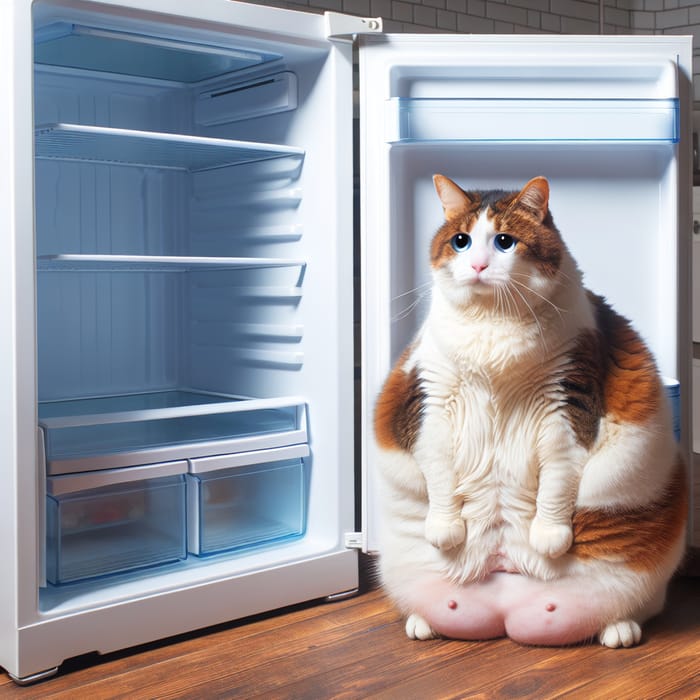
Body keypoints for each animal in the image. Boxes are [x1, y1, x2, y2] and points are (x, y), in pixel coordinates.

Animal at [374, 178, 688, 648]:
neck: (492, 325)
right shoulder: (431, 404)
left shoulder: (566, 408)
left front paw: (550, 536)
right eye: (461, 241)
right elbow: (440, 476)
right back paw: (420, 624)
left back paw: (619, 631)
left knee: (634, 608)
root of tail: (505, 612)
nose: (479, 265)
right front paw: (446, 529)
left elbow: (557, 482)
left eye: (505, 241)